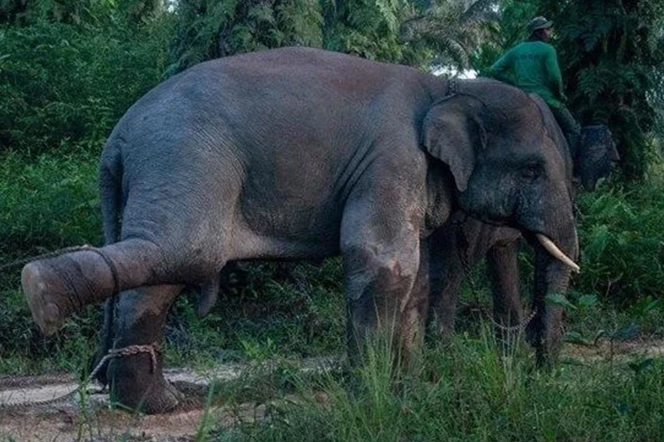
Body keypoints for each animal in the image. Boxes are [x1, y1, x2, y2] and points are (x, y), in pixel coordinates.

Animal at [20, 47, 580, 414]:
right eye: (533, 170)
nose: (542, 373)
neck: (450, 88)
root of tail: (118, 136)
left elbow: (414, 279)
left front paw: (410, 390)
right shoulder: (392, 160)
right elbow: (382, 261)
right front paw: (372, 397)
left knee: (159, 273)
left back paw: (153, 403)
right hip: (184, 157)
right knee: (187, 251)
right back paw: (42, 293)